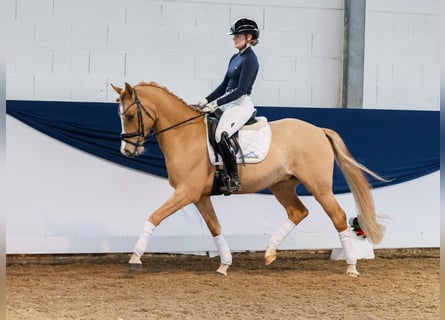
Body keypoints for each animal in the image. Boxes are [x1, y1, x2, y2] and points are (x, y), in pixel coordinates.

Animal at [112, 81, 386, 276]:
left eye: (130, 116)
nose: (127, 151)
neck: (184, 135)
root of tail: (318, 130)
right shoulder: (199, 195)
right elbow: (215, 227)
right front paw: (224, 265)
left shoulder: (186, 192)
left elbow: (154, 217)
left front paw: (135, 258)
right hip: (282, 185)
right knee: (298, 212)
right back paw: (270, 253)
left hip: (320, 187)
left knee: (337, 216)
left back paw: (351, 267)